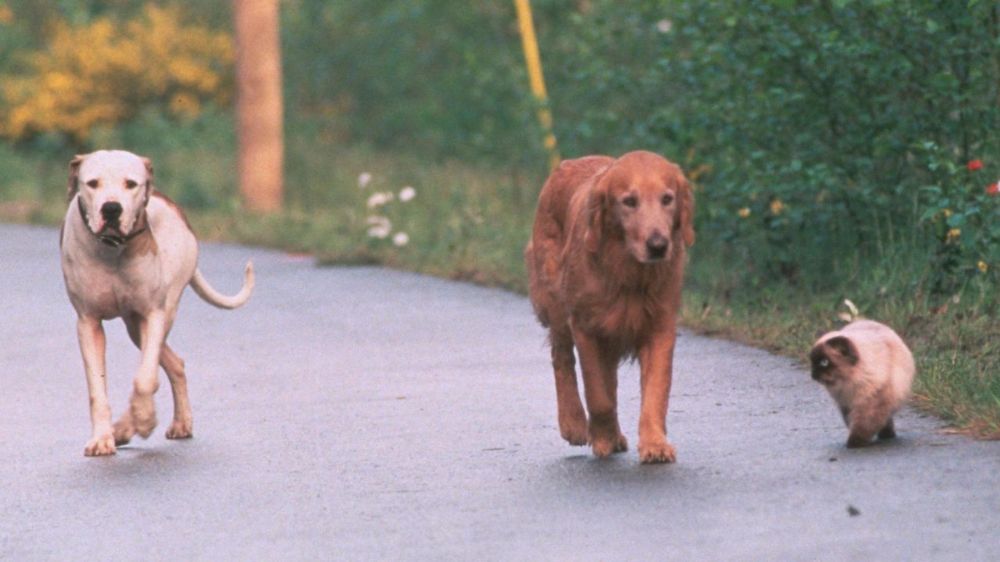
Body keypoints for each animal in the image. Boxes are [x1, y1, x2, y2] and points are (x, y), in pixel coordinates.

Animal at [61, 150, 254, 456]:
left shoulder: (152, 314)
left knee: (163, 364)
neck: (113, 251)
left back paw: (135, 424)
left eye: (131, 184)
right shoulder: (88, 323)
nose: (111, 208)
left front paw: (143, 418)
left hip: (158, 314)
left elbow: (145, 379)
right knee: (175, 364)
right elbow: (97, 390)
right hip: (134, 326)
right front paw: (102, 438)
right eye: (92, 183)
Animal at [524, 151, 696, 462]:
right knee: (562, 359)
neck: (629, 273)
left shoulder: (659, 327)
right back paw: (574, 423)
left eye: (667, 198)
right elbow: (598, 395)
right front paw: (601, 436)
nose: (658, 245)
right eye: (629, 201)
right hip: (556, 303)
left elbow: (655, 392)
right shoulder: (586, 327)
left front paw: (655, 443)